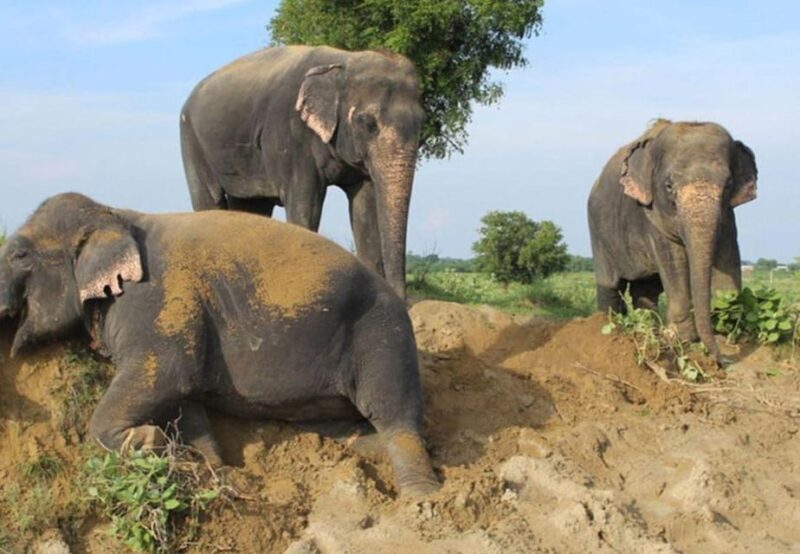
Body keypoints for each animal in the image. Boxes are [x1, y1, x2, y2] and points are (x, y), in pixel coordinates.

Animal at [0, 193, 439, 497]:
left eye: (20, 254)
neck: (112, 212)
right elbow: (184, 395)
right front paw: (213, 468)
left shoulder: (154, 300)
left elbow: (168, 371)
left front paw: (147, 441)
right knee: (346, 425)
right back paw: (365, 449)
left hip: (382, 335)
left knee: (394, 413)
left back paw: (421, 498)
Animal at [180, 45, 425, 299]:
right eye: (367, 122)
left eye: (422, 121)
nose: (403, 301)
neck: (344, 60)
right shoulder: (292, 137)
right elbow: (305, 204)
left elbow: (363, 209)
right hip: (191, 140)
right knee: (210, 201)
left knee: (252, 208)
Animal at [588, 119, 757, 363]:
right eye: (669, 187)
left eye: (728, 184)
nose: (723, 361)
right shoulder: (652, 217)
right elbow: (673, 261)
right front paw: (681, 339)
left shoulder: (727, 218)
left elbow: (728, 257)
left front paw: (728, 329)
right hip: (598, 234)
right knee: (610, 285)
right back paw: (608, 326)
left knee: (645, 290)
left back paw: (647, 330)